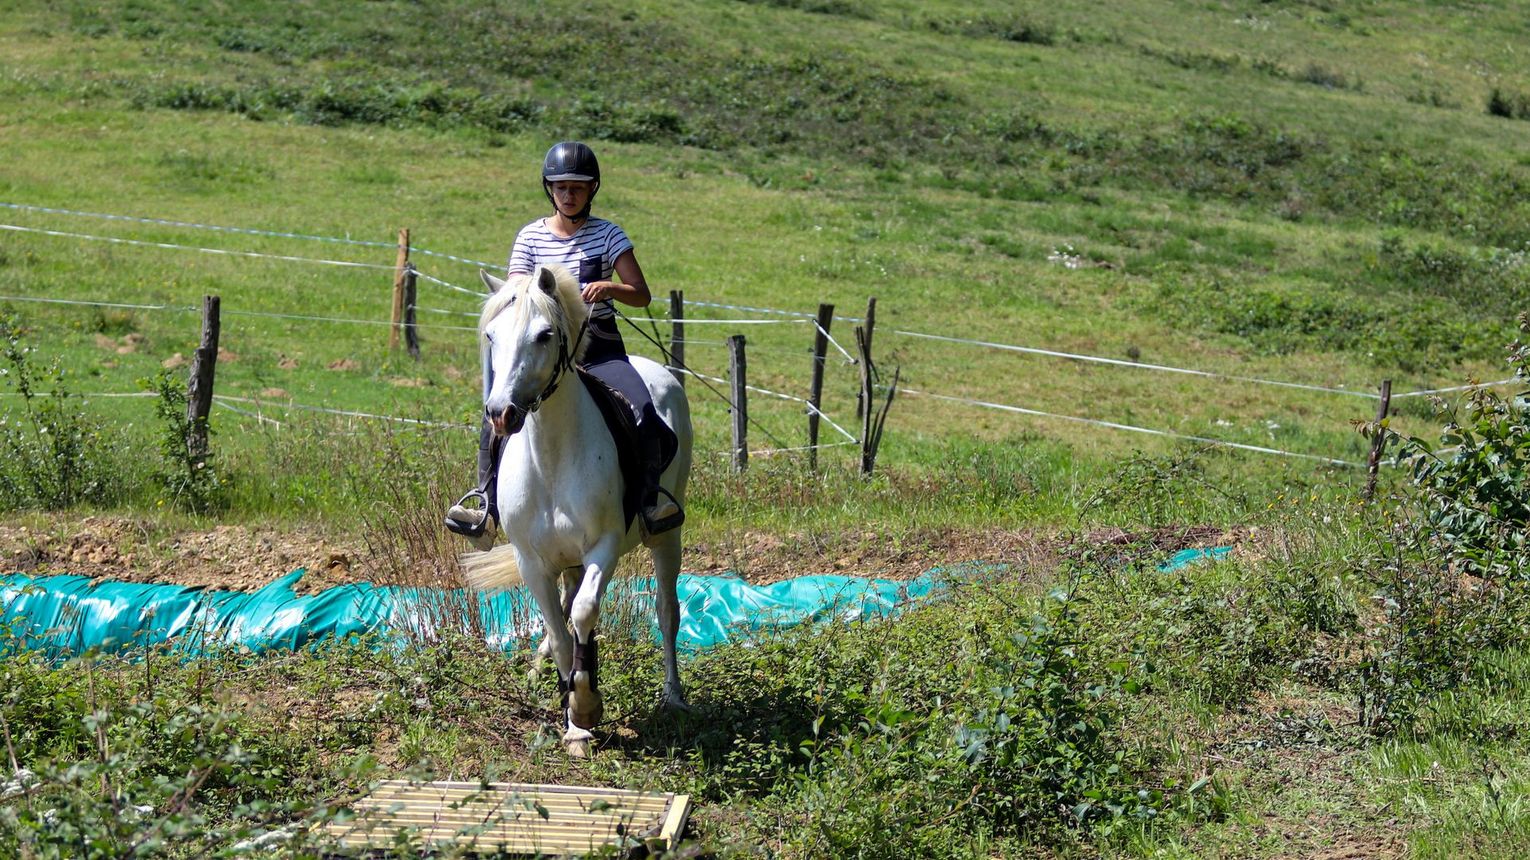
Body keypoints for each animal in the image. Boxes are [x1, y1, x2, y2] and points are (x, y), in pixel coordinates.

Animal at [455, 263, 691, 755]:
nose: (501, 414)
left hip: (666, 536)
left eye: (544, 334)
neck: (552, 457)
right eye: (491, 335)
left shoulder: (604, 546)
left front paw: (584, 705)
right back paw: (538, 670)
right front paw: (573, 721)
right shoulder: (532, 560)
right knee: (563, 615)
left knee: (666, 609)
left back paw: (674, 697)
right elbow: (561, 632)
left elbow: (583, 614)